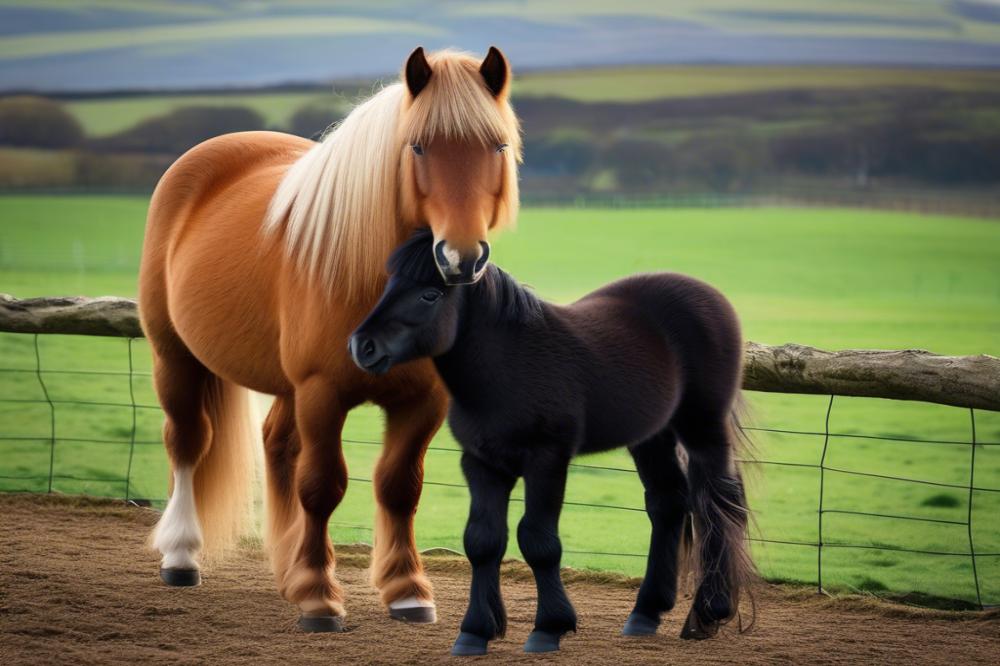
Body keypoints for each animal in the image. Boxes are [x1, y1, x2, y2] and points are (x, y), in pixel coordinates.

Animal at [139, 45, 524, 628]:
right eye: (418, 146)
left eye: (497, 145)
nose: (461, 258)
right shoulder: (322, 392)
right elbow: (322, 486)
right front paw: (320, 596)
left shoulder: (424, 401)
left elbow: (399, 486)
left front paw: (406, 589)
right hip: (176, 356)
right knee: (187, 441)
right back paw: (182, 556)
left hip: (283, 384)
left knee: (277, 444)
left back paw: (287, 570)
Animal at [348, 232, 752, 652]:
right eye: (390, 285)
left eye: (430, 294)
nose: (363, 346)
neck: (509, 365)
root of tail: (710, 294)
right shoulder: (481, 463)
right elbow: (482, 541)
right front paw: (475, 632)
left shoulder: (546, 460)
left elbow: (538, 541)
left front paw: (549, 628)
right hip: (652, 437)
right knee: (669, 504)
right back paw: (646, 612)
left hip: (703, 427)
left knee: (720, 503)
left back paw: (709, 612)